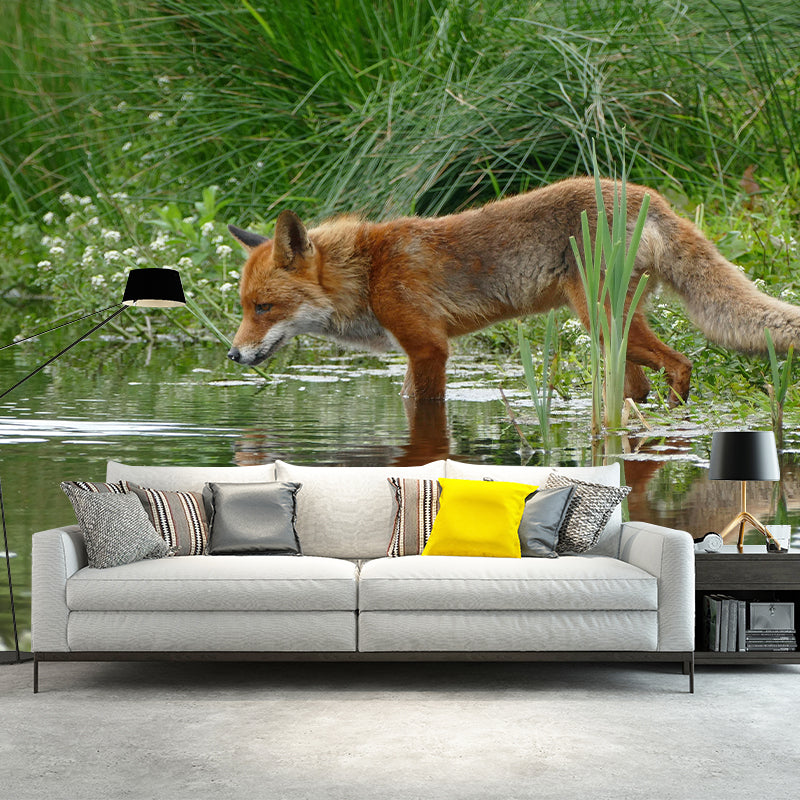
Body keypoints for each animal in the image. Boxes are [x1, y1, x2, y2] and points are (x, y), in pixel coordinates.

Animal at [226, 177, 800, 403]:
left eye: (264, 307)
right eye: (245, 308)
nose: (232, 355)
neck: (368, 272)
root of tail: (648, 196)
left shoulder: (429, 348)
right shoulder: (419, 351)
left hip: (601, 320)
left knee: (682, 363)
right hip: (612, 333)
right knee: (638, 387)